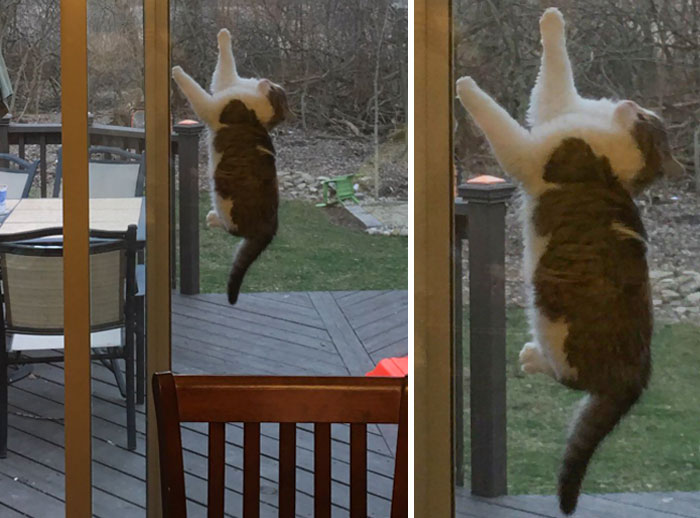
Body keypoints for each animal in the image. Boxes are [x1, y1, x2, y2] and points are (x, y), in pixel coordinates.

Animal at [172, 27, 288, 304]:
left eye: (275, 88)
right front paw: (224, 35)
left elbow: (196, 89)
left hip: (227, 202)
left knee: (233, 229)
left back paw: (213, 219)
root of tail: (272, 227)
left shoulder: (214, 107)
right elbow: (225, 66)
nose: (266, 79)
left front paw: (177, 70)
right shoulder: (225, 83)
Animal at [454, 7, 684, 516]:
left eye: (645, 120)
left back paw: (530, 358)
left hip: (557, 323)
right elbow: (556, 75)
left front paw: (465, 84)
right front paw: (552, 18)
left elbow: (500, 118)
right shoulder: (555, 107)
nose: (630, 102)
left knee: (568, 377)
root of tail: (640, 374)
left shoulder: (531, 153)